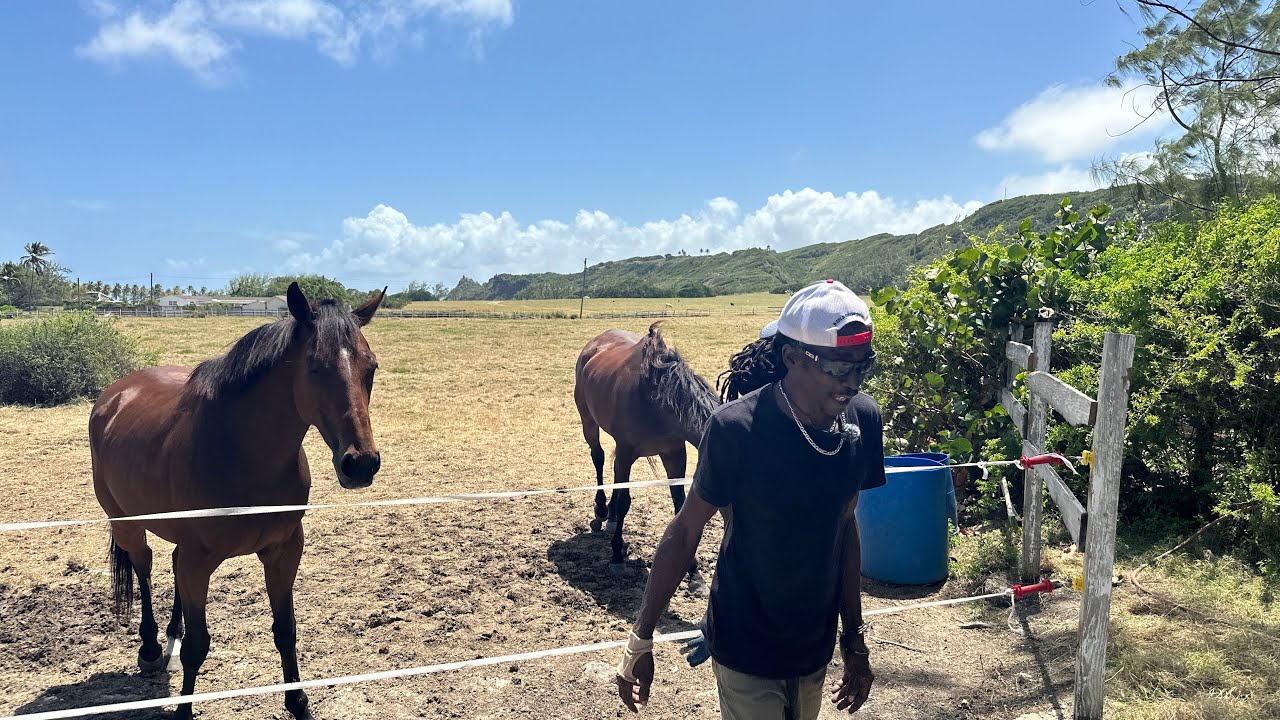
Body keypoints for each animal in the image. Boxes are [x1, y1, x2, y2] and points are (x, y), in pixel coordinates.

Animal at [89, 282, 385, 720]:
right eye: (315, 367)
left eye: (371, 368)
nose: (361, 463)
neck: (243, 453)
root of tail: (115, 394)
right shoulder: (199, 561)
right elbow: (198, 647)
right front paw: (183, 711)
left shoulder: (283, 551)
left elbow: (285, 630)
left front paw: (298, 703)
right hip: (127, 524)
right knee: (144, 567)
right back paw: (151, 648)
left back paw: (171, 634)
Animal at [573, 321, 718, 595]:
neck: (657, 400)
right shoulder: (626, 452)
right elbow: (624, 501)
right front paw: (617, 557)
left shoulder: (674, 454)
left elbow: (679, 507)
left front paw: (694, 574)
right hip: (588, 422)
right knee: (598, 458)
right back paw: (602, 510)